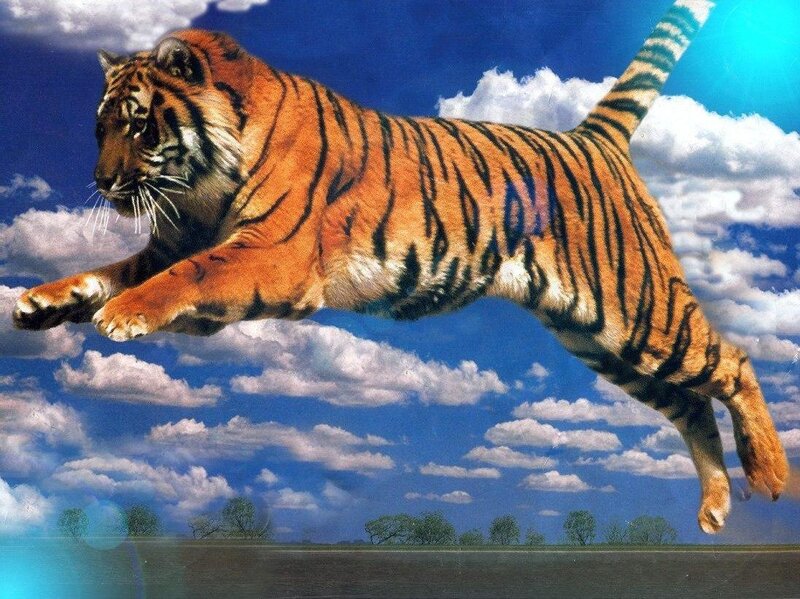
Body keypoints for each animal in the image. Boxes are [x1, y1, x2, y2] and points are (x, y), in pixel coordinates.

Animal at [12, 0, 788, 533]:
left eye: (140, 124)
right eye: (100, 126)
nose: (102, 183)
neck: (199, 183)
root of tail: (590, 137)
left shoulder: (273, 255)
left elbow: (181, 277)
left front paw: (122, 314)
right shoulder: (173, 243)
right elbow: (111, 269)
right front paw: (42, 299)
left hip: (640, 311)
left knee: (731, 361)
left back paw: (772, 475)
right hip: (598, 337)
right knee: (689, 400)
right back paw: (717, 507)